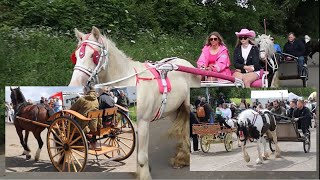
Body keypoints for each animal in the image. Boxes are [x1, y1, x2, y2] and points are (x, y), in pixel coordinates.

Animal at [68, 26, 200, 179]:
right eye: (76, 56)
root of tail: (187, 63)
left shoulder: (143, 122)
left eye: (93, 55)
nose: (74, 86)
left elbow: (142, 155)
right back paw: (182, 157)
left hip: (187, 106)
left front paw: (144, 174)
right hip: (174, 109)